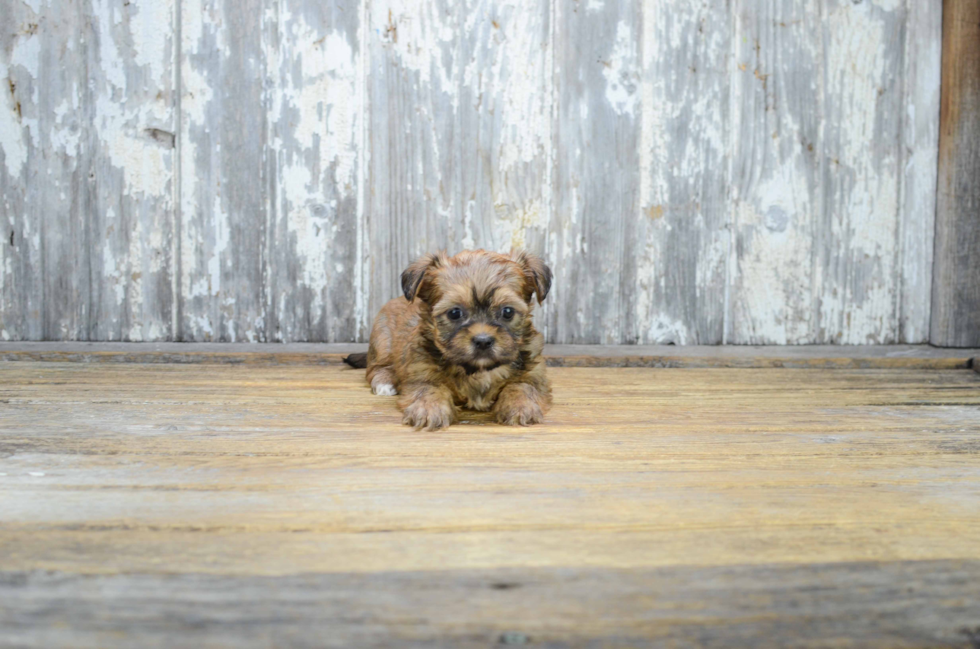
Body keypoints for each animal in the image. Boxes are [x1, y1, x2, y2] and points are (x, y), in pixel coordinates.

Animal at [344, 251, 552, 428]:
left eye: (507, 312)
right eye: (454, 313)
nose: (483, 340)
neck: (478, 370)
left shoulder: (533, 373)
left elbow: (522, 386)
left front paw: (521, 406)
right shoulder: (421, 371)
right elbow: (429, 389)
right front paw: (428, 409)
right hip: (382, 341)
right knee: (377, 368)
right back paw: (384, 382)